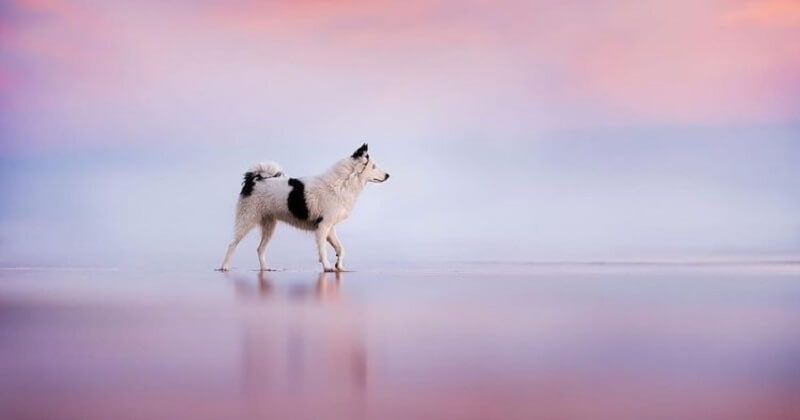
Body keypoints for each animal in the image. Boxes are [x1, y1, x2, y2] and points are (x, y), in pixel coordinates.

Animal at [219, 143, 390, 270]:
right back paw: (224, 267)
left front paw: (339, 266)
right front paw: (327, 266)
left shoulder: (330, 228)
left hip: (270, 226)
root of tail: (255, 179)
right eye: (374, 166)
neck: (342, 182)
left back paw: (265, 269)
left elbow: (341, 249)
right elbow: (323, 250)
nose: (388, 175)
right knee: (232, 244)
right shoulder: (322, 227)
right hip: (247, 220)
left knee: (260, 249)